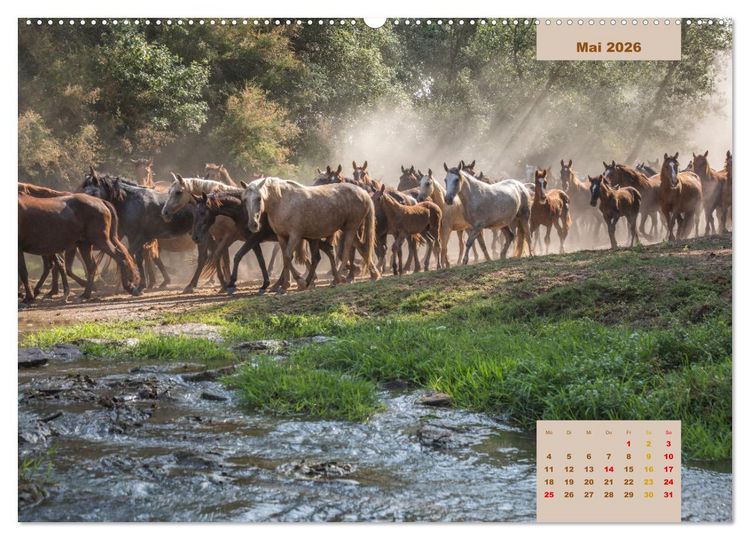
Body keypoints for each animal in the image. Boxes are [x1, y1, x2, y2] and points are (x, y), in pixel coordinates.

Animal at [243, 178, 380, 291]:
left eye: (259, 198)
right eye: (245, 200)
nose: (253, 225)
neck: (282, 201)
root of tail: (363, 192)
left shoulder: (295, 236)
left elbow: (287, 256)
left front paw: (300, 282)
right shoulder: (281, 237)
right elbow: (285, 258)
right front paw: (286, 285)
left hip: (351, 228)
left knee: (346, 252)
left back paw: (336, 279)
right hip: (347, 228)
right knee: (362, 248)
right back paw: (374, 274)